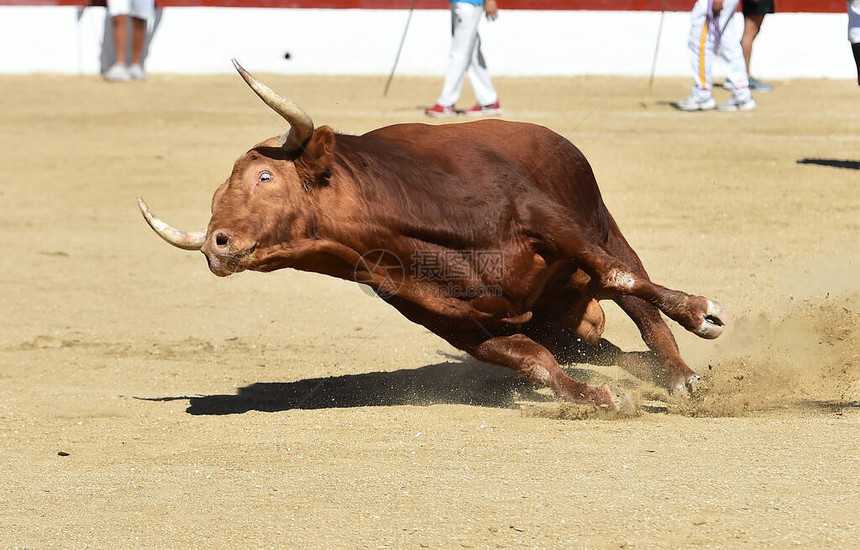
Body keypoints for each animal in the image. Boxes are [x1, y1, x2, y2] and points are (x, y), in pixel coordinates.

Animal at [139, 60, 724, 414]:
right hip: (560, 318)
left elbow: (621, 278)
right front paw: (600, 398)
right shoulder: (453, 322)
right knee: (599, 344)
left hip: (603, 225)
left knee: (637, 295)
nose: (215, 243)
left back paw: (682, 377)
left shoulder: (550, 222)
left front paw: (702, 312)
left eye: (264, 177)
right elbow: (533, 361)